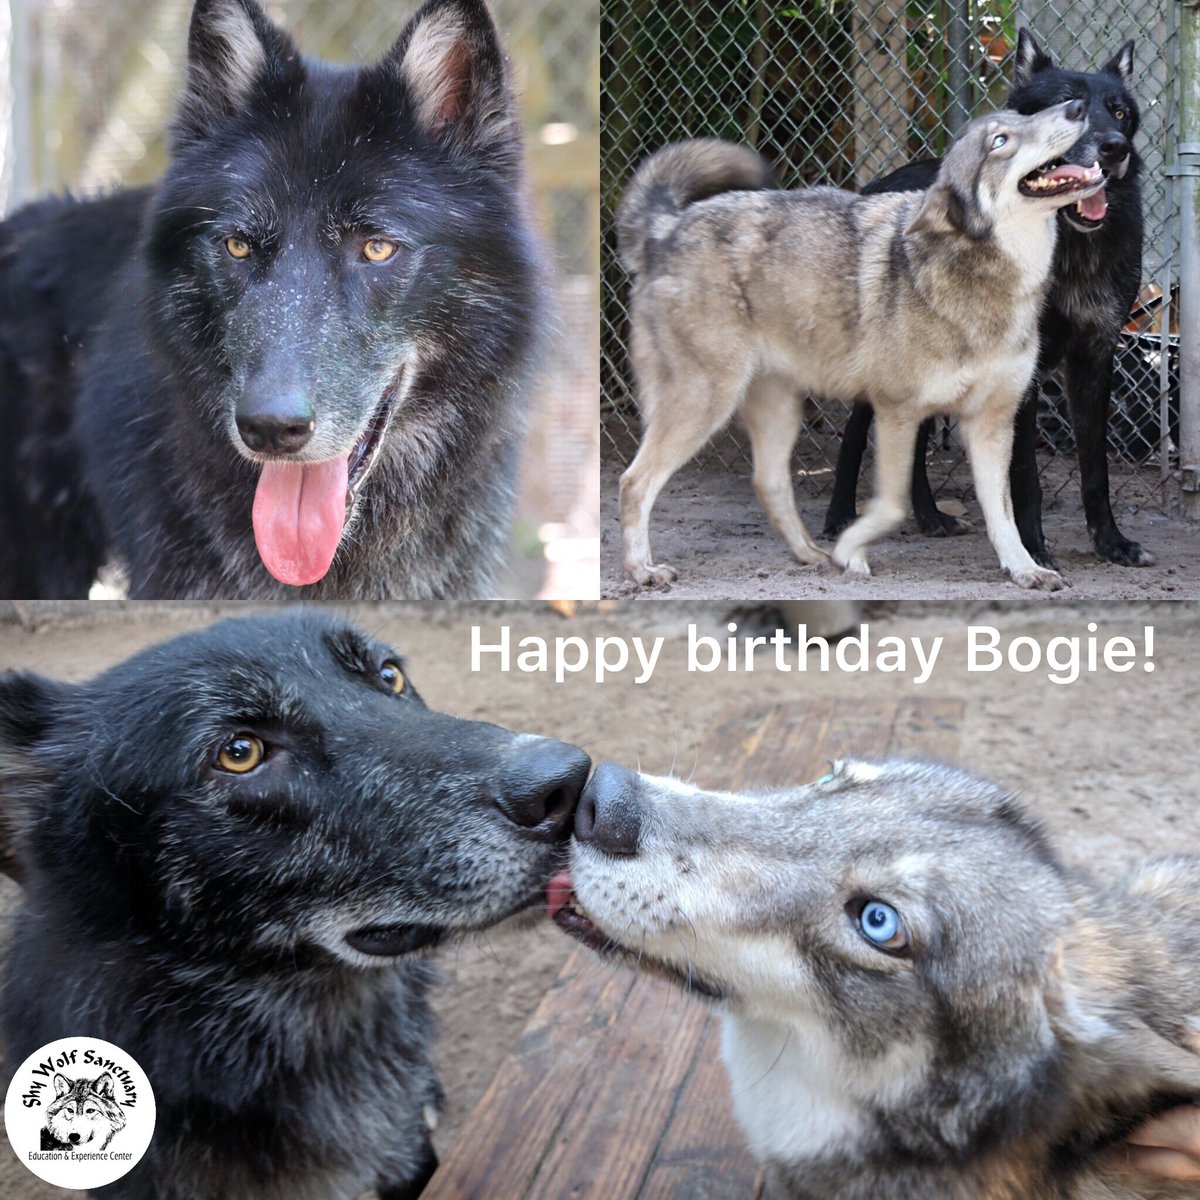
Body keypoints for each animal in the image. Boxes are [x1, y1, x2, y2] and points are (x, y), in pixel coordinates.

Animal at [617, 100, 1107, 591]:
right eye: (999, 141)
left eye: (1022, 116)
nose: (1076, 106)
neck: (984, 280)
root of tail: (666, 229)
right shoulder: (896, 411)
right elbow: (893, 506)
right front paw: (851, 551)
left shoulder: (991, 422)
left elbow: (1002, 514)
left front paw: (1025, 569)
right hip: (706, 403)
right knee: (634, 480)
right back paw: (642, 570)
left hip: (780, 412)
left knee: (768, 483)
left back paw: (811, 555)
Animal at [825, 31, 1149, 570]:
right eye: (1069, 107)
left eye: (1120, 112)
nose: (1115, 148)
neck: (1069, 246)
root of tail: (879, 183)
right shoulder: (1023, 368)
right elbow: (1024, 476)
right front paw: (1033, 547)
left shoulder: (1095, 357)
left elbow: (1096, 468)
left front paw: (1112, 542)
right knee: (856, 431)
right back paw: (838, 517)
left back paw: (929, 516)